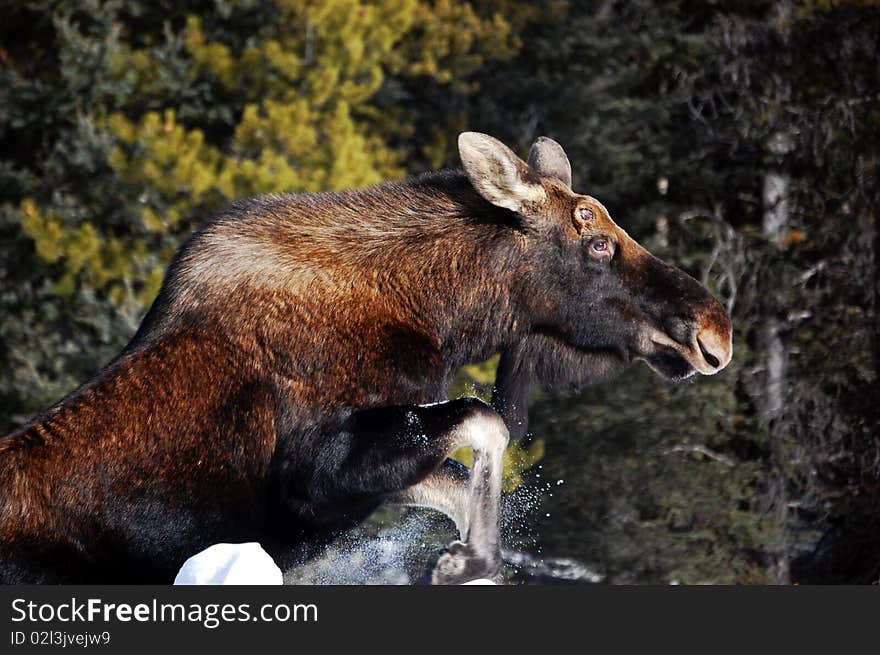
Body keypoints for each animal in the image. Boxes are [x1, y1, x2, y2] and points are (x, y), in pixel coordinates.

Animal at [0, 133, 728, 584]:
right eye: (596, 238)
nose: (714, 332)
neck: (442, 315)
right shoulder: (313, 476)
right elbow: (485, 422)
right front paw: (464, 563)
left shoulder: (356, 479)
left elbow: (457, 479)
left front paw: (465, 559)